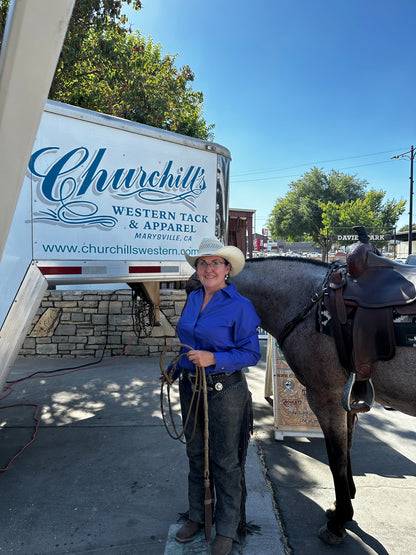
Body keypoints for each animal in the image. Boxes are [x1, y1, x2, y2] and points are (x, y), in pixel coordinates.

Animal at [231, 258, 416, 544]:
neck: (306, 302)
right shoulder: (346, 400)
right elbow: (346, 448)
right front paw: (341, 505)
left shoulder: (325, 399)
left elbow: (336, 458)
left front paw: (338, 523)